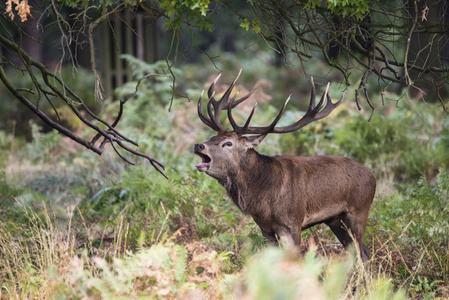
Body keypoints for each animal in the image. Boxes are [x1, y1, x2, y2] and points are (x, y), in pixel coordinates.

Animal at [192, 70, 374, 262]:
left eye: (228, 143)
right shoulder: (265, 229)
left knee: (362, 252)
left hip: (359, 211)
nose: (199, 145)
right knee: (359, 251)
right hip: (335, 220)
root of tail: (372, 176)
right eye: (212, 137)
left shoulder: (292, 223)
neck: (262, 198)